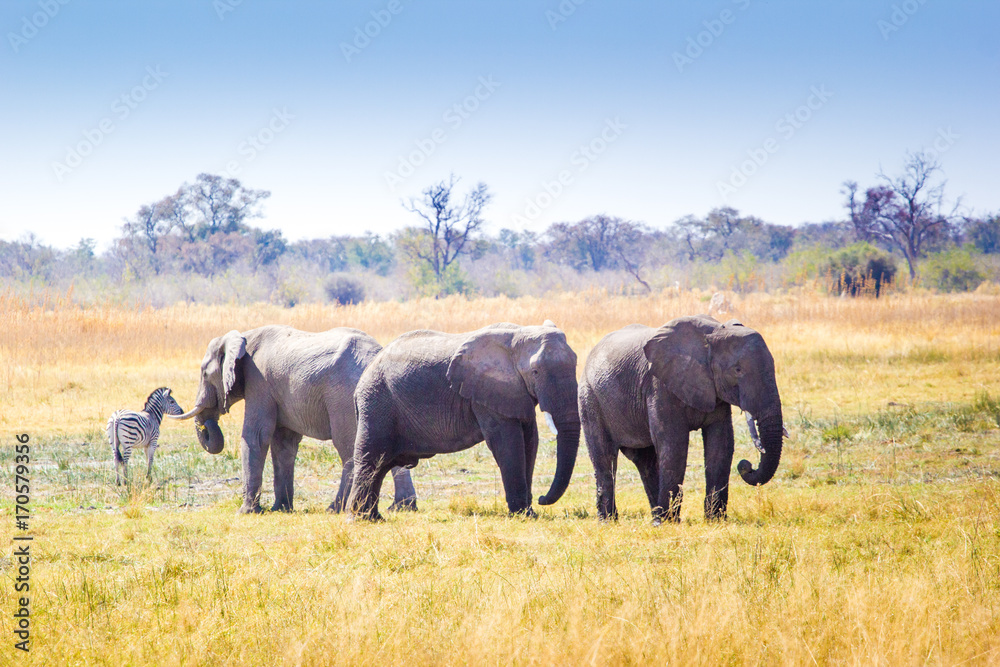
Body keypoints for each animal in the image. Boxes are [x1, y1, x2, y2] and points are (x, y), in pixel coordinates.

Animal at [170, 325, 417, 514]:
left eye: (204, 373)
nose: (209, 423)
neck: (243, 336)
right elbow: (283, 444)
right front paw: (281, 509)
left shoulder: (259, 382)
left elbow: (256, 436)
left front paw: (246, 512)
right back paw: (401, 507)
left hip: (343, 396)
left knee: (349, 448)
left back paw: (335, 509)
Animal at [347, 321, 581, 521]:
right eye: (535, 371)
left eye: (576, 363)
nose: (542, 499)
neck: (518, 335)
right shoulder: (486, 393)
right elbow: (507, 443)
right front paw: (523, 515)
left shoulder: (514, 391)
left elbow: (530, 441)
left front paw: (529, 512)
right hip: (377, 402)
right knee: (372, 457)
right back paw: (362, 519)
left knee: (381, 464)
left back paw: (372, 517)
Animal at [579, 315, 785, 524]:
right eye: (738, 370)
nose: (747, 466)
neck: (714, 333)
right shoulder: (660, 385)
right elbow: (674, 444)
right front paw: (668, 523)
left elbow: (721, 443)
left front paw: (715, 520)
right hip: (590, 398)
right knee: (605, 457)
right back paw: (610, 520)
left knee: (645, 461)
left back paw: (655, 516)